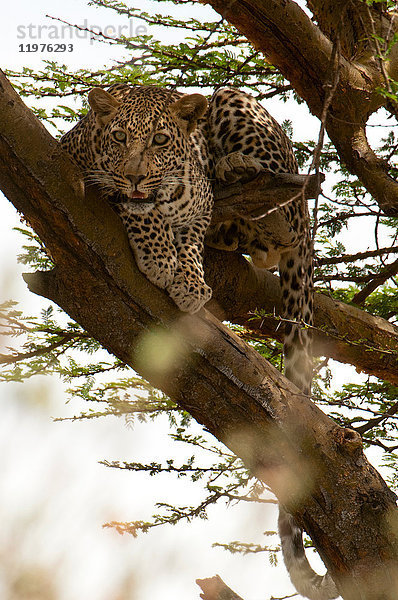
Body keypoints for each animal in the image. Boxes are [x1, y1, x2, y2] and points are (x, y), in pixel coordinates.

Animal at [60, 84, 338, 600]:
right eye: (120, 138)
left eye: (160, 140)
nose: (136, 176)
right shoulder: (77, 168)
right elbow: (139, 213)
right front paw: (162, 259)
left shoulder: (195, 206)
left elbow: (188, 236)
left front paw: (187, 278)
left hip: (239, 110)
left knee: (281, 227)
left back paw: (238, 170)